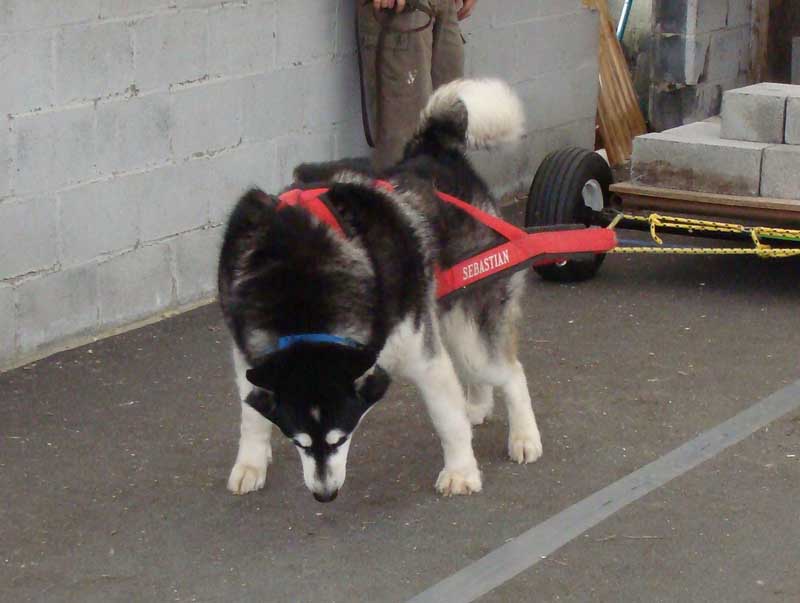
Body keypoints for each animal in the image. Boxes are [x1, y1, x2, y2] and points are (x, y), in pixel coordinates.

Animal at [219, 78, 544, 502]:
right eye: (298, 441)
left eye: (342, 438)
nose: (324, 495)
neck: (300, 292)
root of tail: (431, 151)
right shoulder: (247, 349)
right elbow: (251, 417)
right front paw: (251, 463)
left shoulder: (421, 355)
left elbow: (447, 421)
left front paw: (461, 471)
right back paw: (476, 404)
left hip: (472, 328)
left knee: (510, 372)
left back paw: (523, 435)